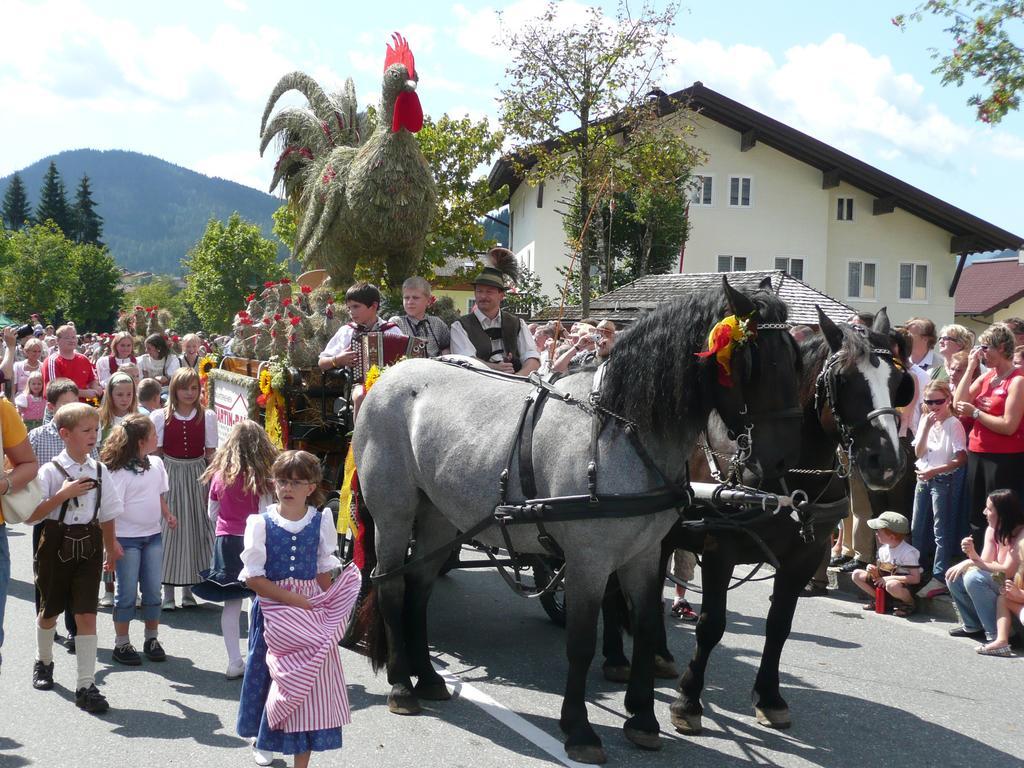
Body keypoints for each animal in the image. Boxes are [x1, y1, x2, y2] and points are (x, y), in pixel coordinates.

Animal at [352, 278, 806, 765]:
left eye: (797, 362)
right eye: (758, 361)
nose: (783, 462)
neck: (621, 431)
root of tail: (390, 375)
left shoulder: (645, 554)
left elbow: (646, 628)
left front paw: (643, 719)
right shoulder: (589, 560)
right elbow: (582, 641)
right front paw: (580, 729)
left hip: (438, 515)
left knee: (419, 587)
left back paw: (429, 677)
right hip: (394, 513)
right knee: (390, 586)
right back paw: (402, 684)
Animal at [598, 305, 913, 733]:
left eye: (898, 382)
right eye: (844, 379)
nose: (889, 463)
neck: (786, 475)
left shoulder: (803, 557)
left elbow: (779, 625)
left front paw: (769, 697)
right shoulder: (720, 548)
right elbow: (711, 625)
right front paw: (688, 701)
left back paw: (659, 653)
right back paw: (616, 657)